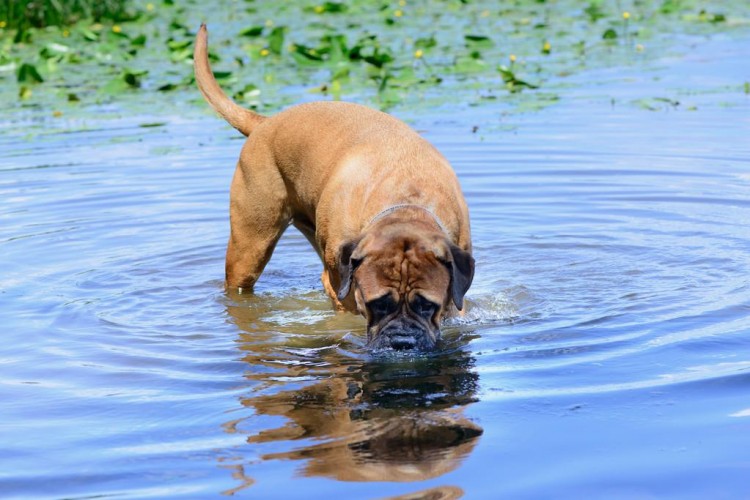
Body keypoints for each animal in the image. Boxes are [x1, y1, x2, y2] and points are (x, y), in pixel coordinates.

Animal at [195, 24, 476, 352]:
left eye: (427, 305)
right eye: (378, 304)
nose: (402, 341)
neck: (406, 202)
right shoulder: (345, 289)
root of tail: (265, 122)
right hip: (249, 247)